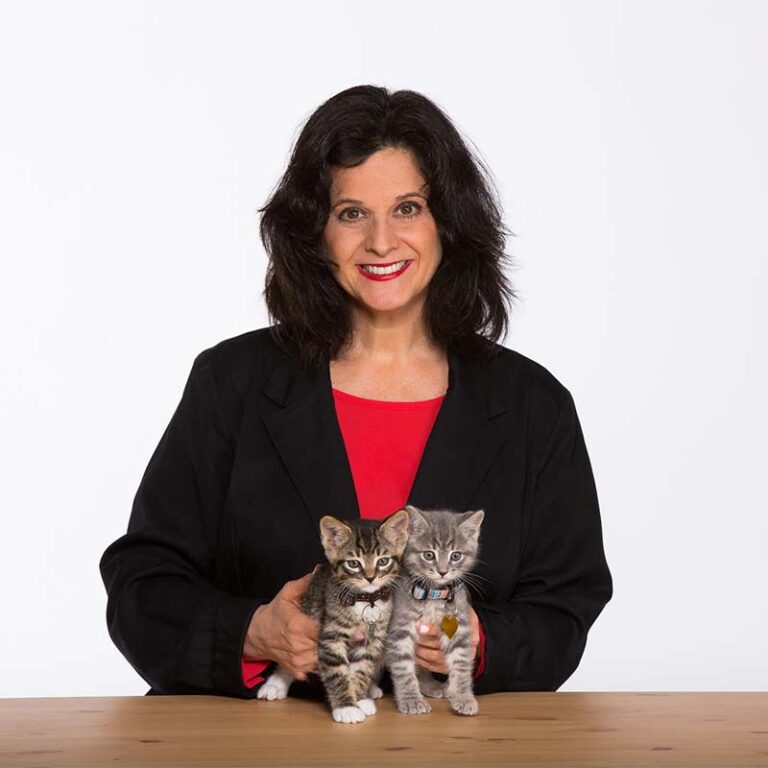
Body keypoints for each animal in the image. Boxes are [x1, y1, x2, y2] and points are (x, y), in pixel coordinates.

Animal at [256, 510, 412, 728]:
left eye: (383, 561)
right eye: (353, 563)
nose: (370, 578)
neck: (366, 600)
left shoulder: (373, 638)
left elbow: (362, 667)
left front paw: (359, 697)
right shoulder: (330, 635)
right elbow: (337, 671)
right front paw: (346, 707)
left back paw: (370, 689)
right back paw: (276, 683)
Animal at [384, 508, 486, 716]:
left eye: (455, 556)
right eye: (429, 555)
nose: (443, 571)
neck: (434, 595)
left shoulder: (460, 628)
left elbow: (461, 663)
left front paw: (463, 696)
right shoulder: (399, 630)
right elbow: (403, 668)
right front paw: (411, 699)